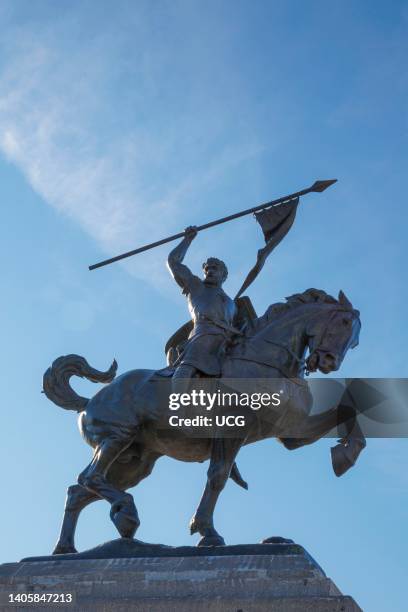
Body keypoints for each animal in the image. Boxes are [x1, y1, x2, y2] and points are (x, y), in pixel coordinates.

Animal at [43, 288, 364, 556]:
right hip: (117, 438)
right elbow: (217, 477)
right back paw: (126, 516)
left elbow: (348, 411)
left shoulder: (291, 435)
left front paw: (345, 455)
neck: (267, 362)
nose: (329, 361)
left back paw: (66, 549)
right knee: (89, 478)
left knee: (78, 491)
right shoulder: (231, 432)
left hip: (133, 463)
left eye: (356, 341)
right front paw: (207, 532)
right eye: (344, 322)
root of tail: (88, 402)